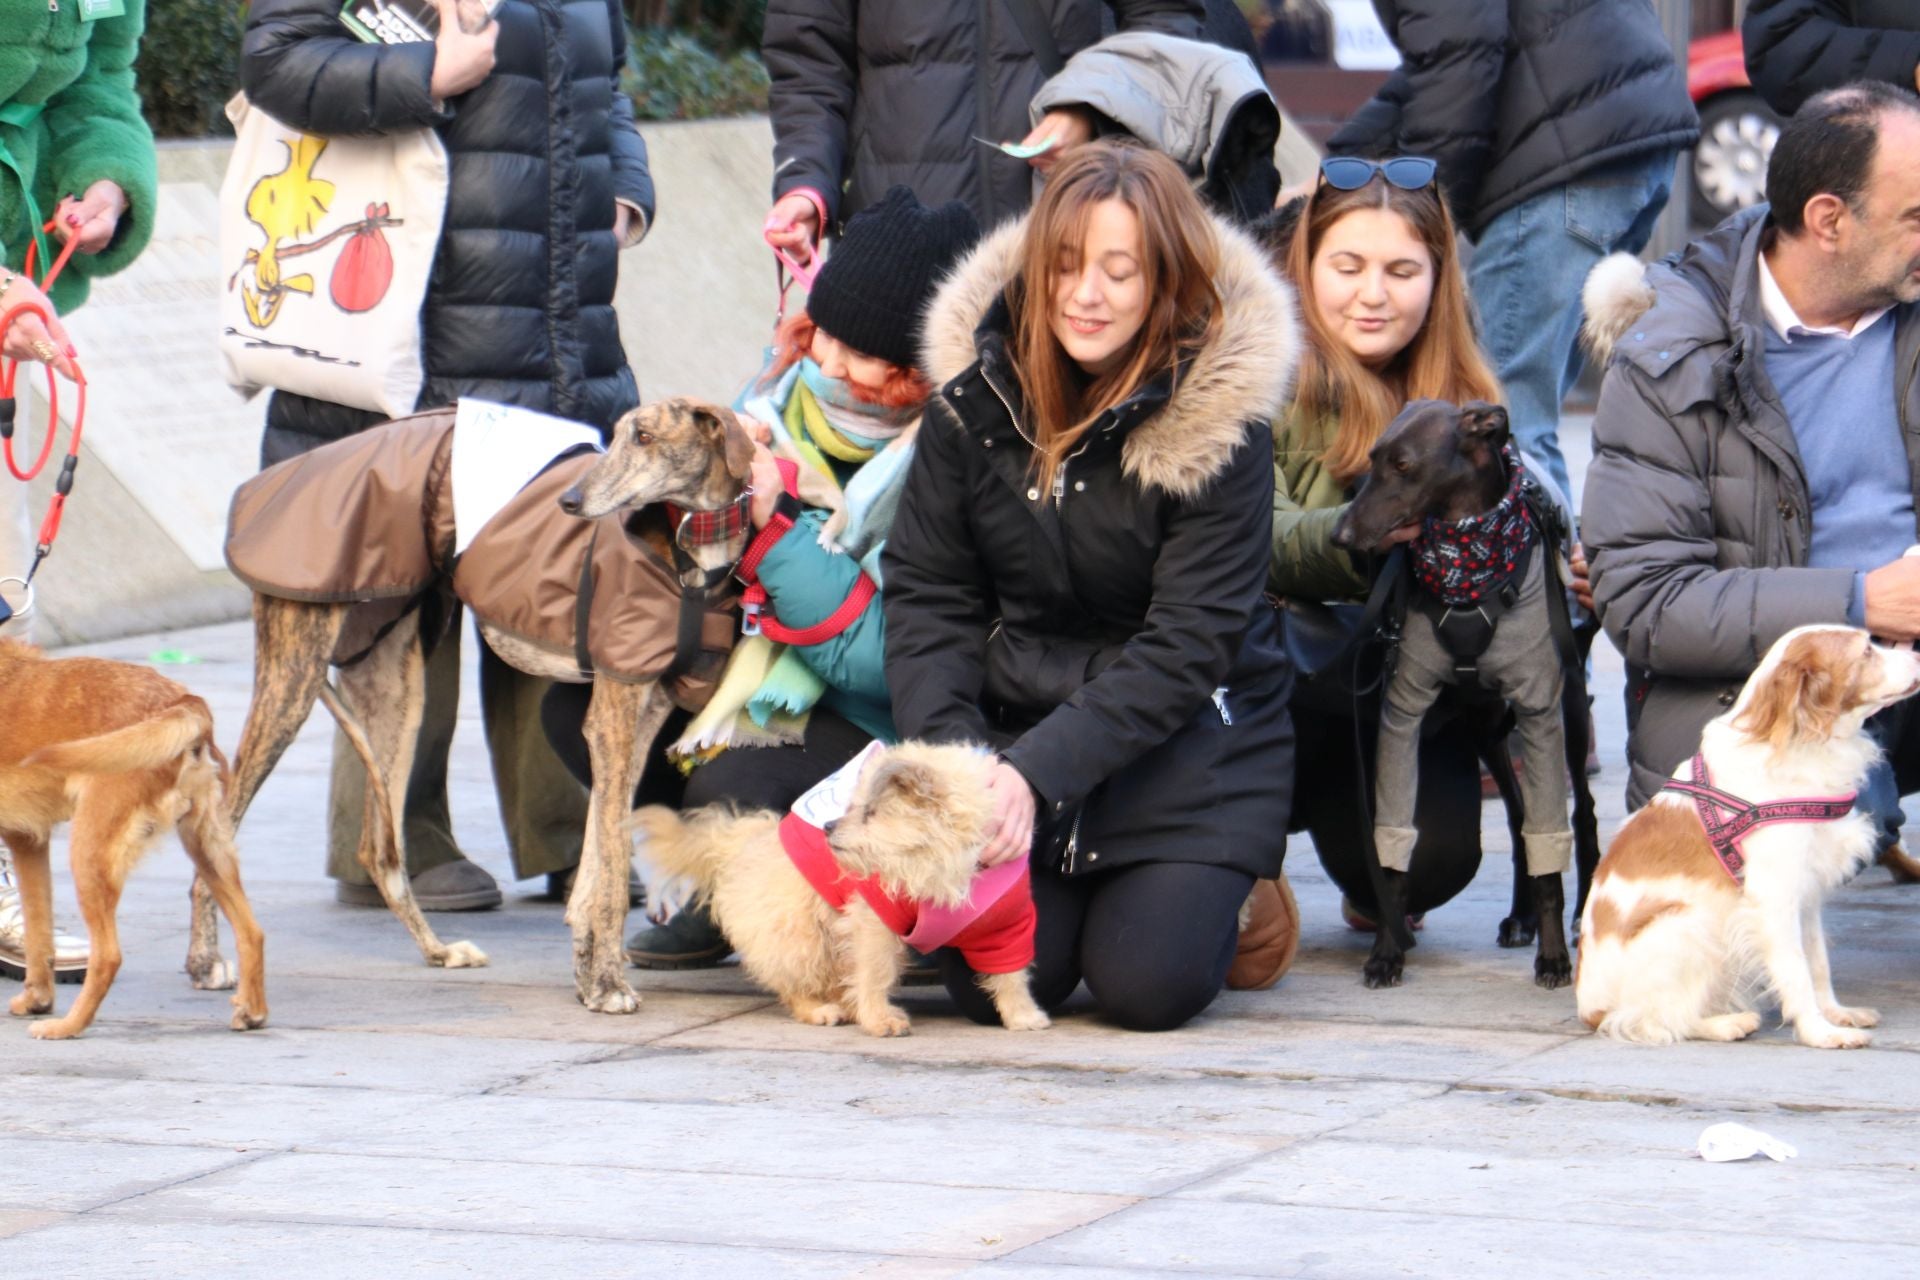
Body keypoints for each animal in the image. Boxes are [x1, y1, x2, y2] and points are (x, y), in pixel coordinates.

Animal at [0, 640, 264, 1043]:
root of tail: (180, 700)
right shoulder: (27, 840)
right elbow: (38, 935)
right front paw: (37, 1000)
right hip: (208, 851)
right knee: (252, 932)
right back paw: (252, 1012)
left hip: (89, 853)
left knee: (109, 955)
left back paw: (69, 1026)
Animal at [212, 395, 748, 1013]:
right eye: (615, 435)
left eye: (643, 436)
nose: (570, 502)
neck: (688, 549)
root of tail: (263, 486)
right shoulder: (611, 716)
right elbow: (612, 867)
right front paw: (610, 983)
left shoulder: (640, 721)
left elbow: (597, 860)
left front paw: (590, 975)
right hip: (293, 678)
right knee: (222, 825)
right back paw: (206, 965)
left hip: (396, 689)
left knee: (377, 849)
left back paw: (438, 951)